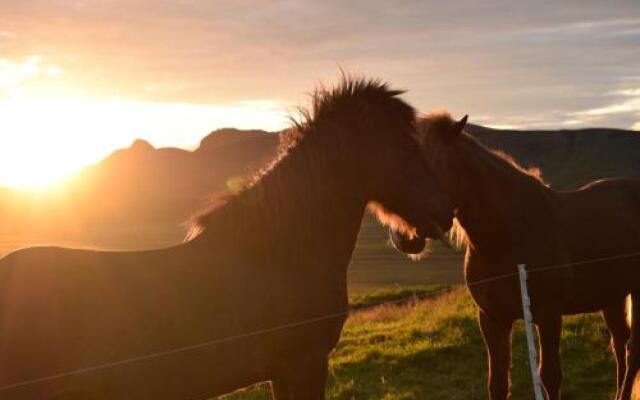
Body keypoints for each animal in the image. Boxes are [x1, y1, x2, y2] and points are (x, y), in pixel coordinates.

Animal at [392, 112, 640, 400]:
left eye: (429, 166)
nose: (402, 235)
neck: (508, 236)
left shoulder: (548, 315)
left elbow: (550, 377)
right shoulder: (492, 318)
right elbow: (497, 383)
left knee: (632, 351)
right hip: (612, 295)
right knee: (620, 344)